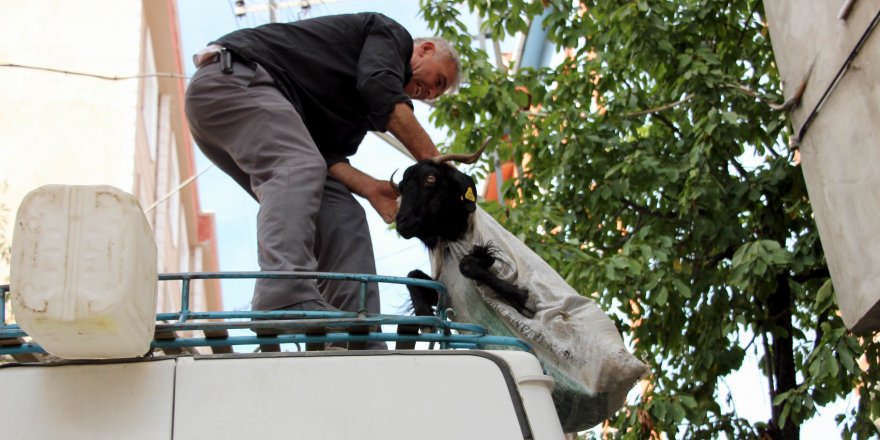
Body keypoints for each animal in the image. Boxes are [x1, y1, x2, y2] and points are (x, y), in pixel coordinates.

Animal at [396, 146, 532, 318]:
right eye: (401, 186)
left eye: (431, 178)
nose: (401, 222)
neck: (455, 235)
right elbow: (413, 275)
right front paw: (424, 314)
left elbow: (466, 264)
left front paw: (519, 296)